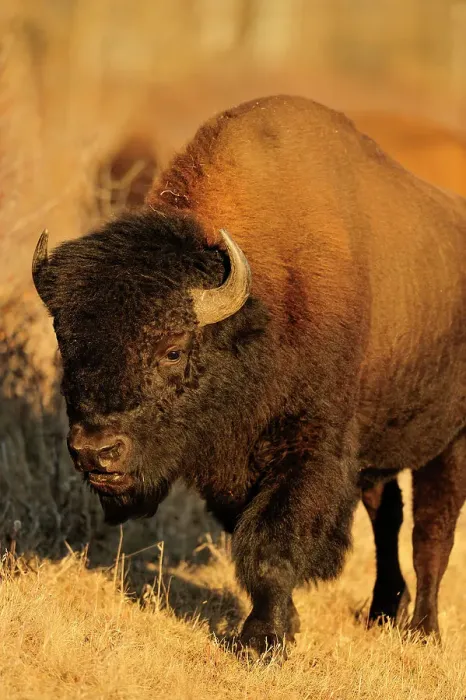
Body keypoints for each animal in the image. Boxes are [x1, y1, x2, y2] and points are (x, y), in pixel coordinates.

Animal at [32, 95, 466, 656]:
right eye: (66, 342)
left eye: (173, 350)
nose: (95, 452)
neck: (263, 303)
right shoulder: (234, 470)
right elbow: (250, 534)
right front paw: (285, 625)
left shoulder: (310, 450)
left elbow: (269, 546)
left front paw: (262, 641)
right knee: (387, 516)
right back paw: (383, 612)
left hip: (450, 441)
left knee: (432, 531)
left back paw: (423, 630)